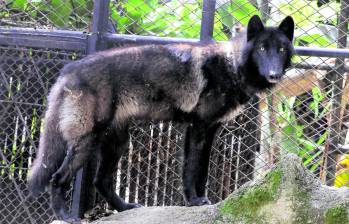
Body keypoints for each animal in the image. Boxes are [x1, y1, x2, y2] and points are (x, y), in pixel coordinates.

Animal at [27, 15, 294, 220]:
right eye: (261, 49)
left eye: (281, 50)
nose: (274, 74)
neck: (232, 65)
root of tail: (69, 70)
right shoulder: (198, 128)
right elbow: (191, 169)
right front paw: (194, 200)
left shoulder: (209, 131)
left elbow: (202, 171)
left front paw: (202, 200)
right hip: (87, 142)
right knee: (57, 178)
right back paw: (65, 217)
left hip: (118, 143)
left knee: (100, 181)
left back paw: (125, 208)